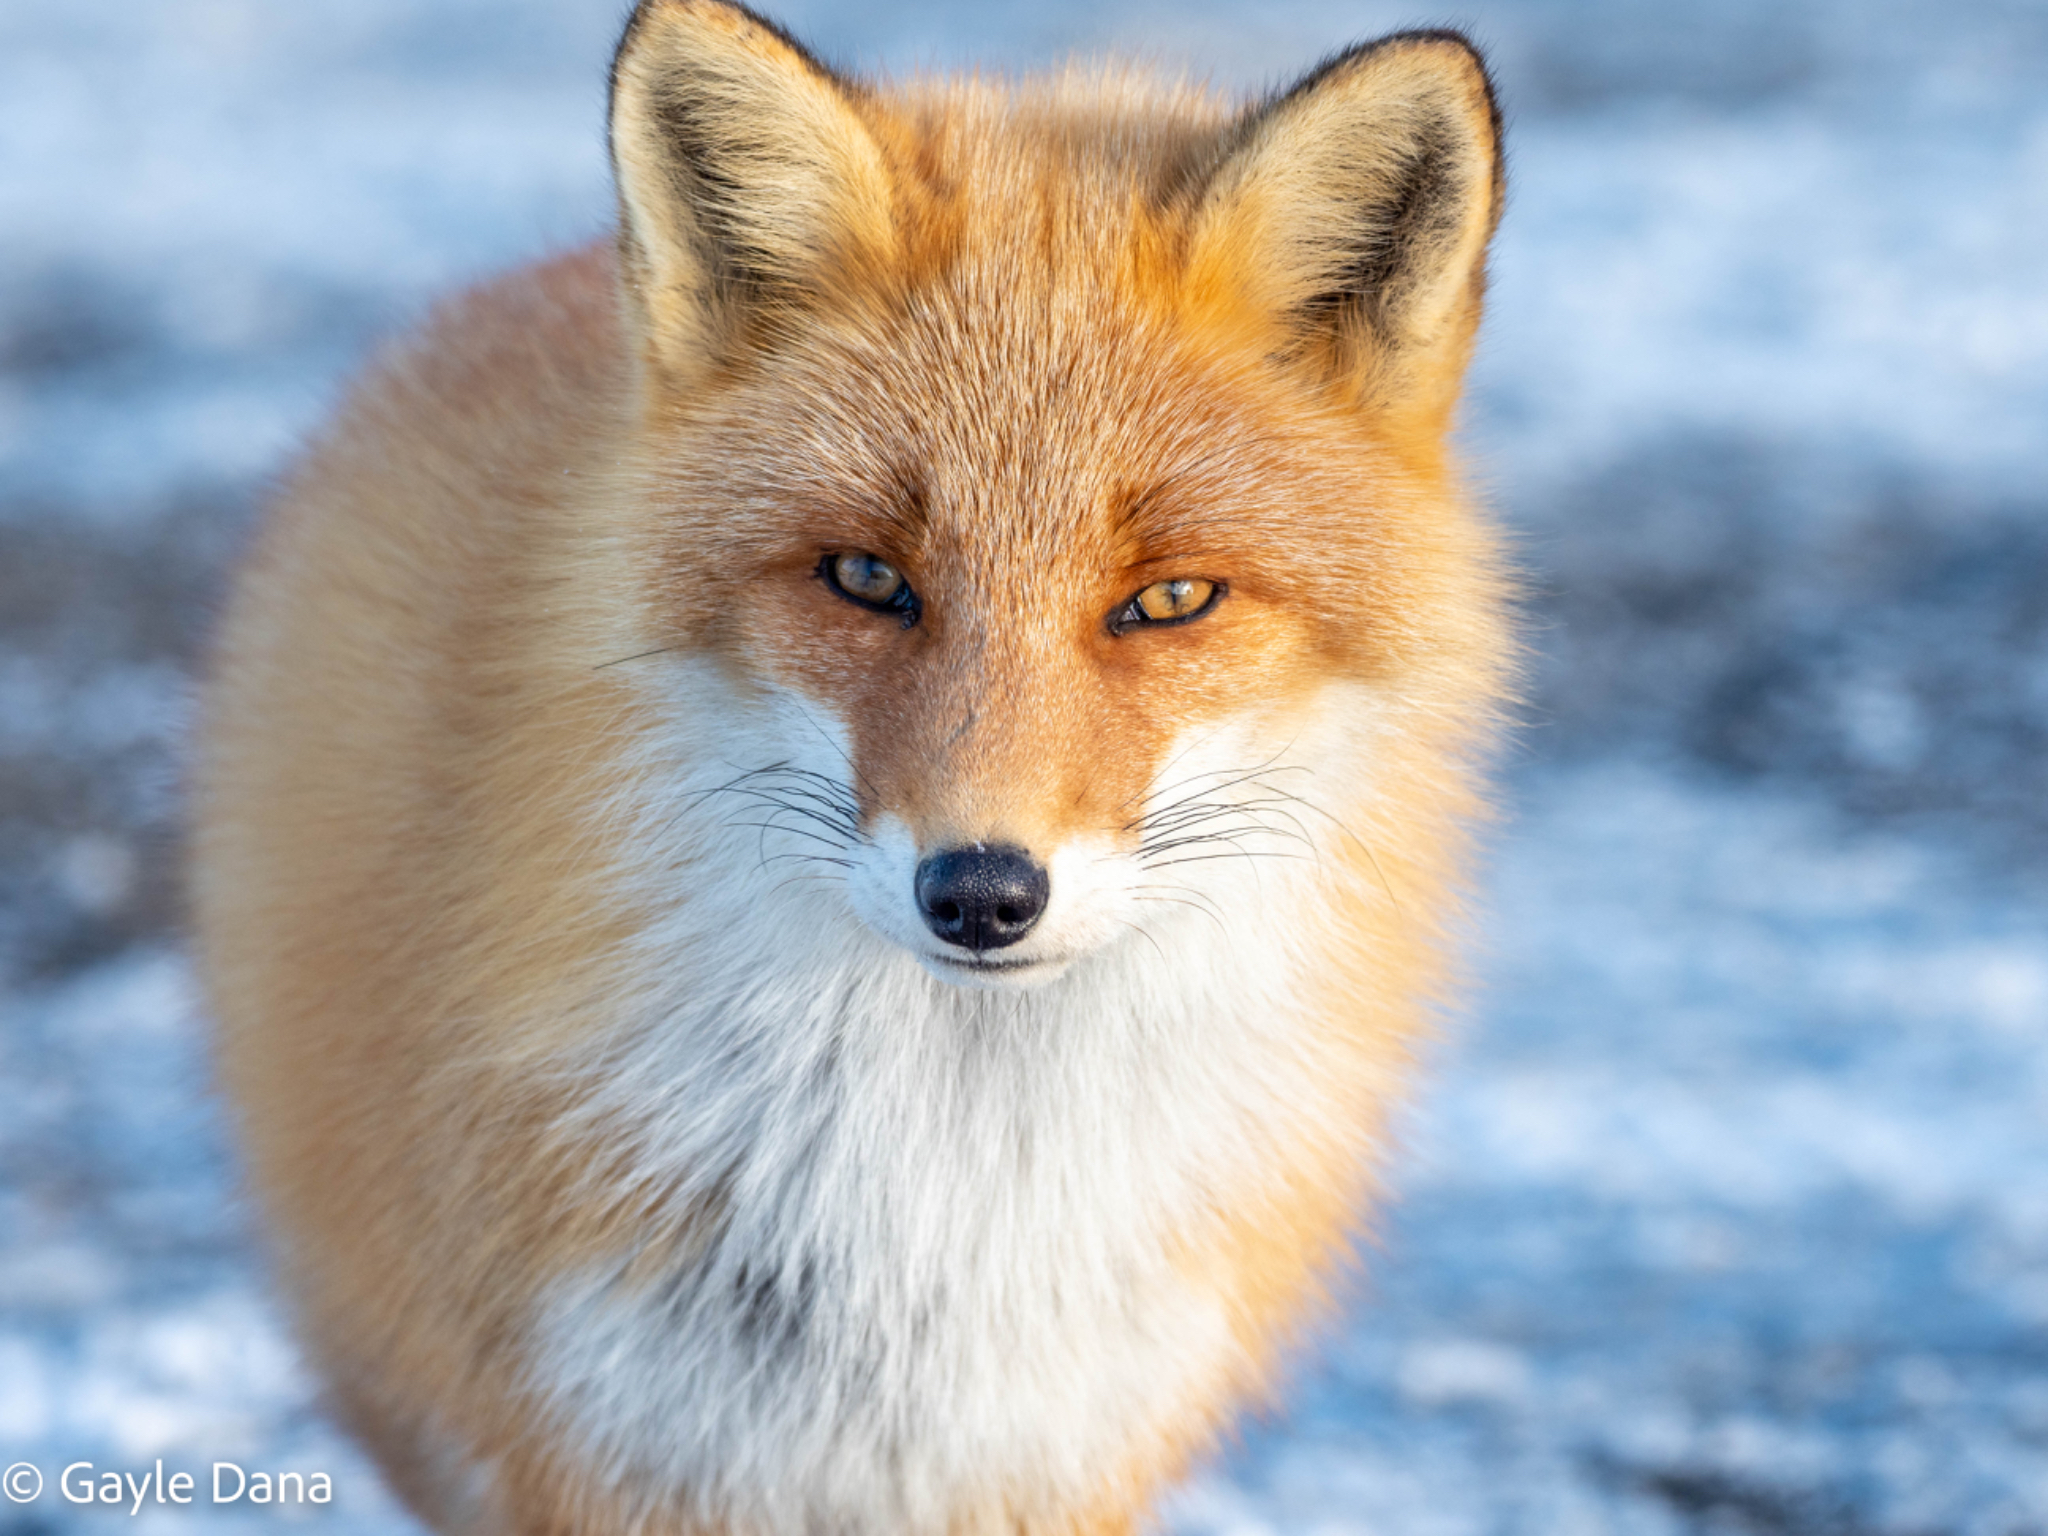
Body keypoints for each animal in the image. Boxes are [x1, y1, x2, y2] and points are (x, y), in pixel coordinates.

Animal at [191, 3, 1512, 1532]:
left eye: (1170, 600)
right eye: (868, 578)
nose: (984, 893)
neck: (947, 1199)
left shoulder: (1055, 1450)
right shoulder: (612, 1434)